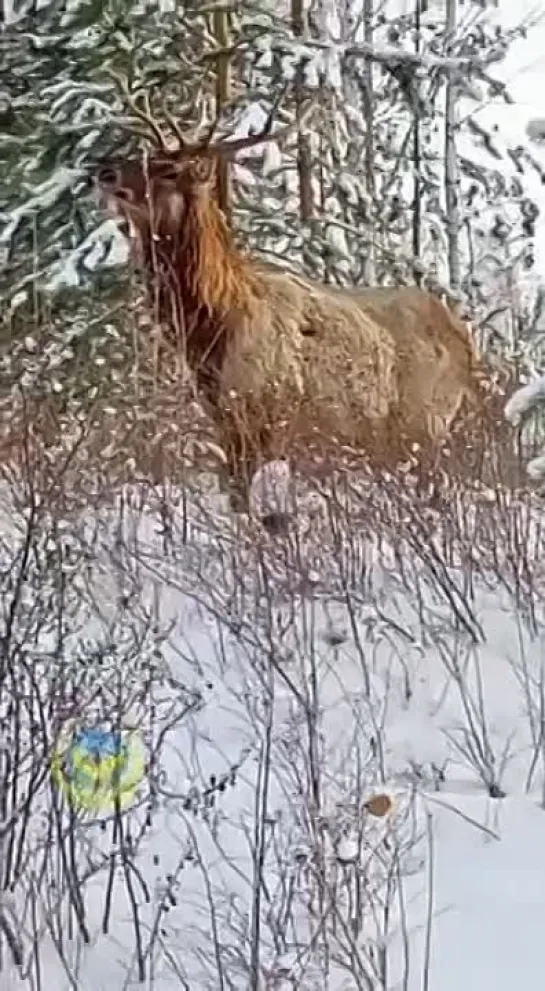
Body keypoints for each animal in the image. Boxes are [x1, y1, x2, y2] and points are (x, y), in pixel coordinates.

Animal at [93, 83, 480, 504]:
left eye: (168, 169)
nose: (104, 171)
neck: (211, 329)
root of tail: (466, 339)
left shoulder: (270, 411)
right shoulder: (224, 419)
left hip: (425, 422)